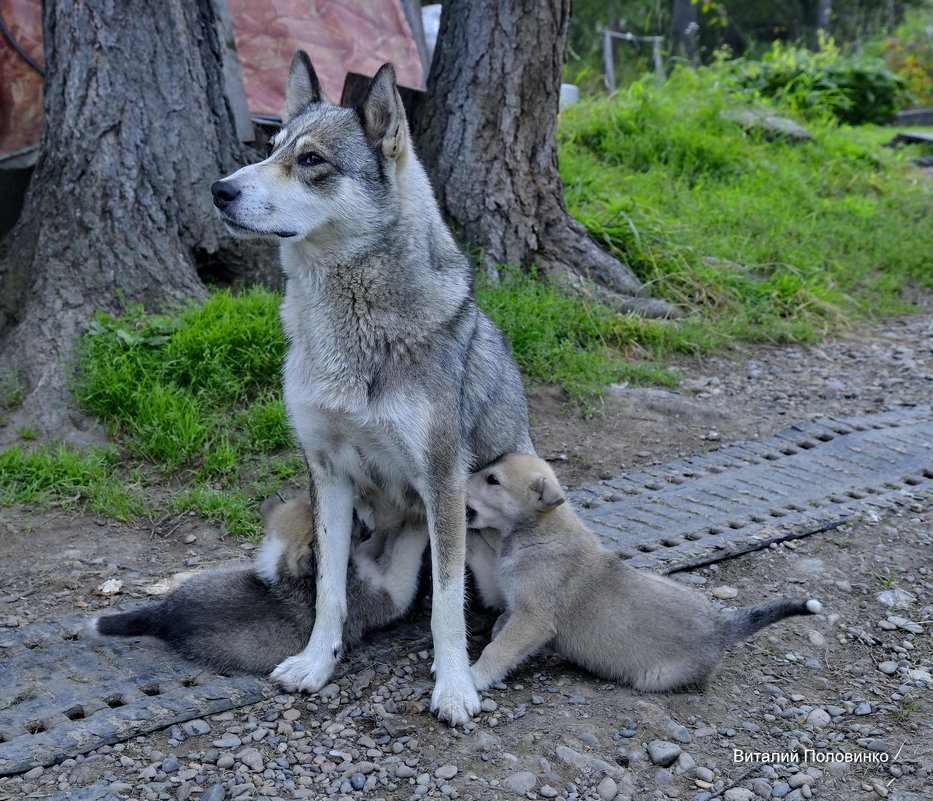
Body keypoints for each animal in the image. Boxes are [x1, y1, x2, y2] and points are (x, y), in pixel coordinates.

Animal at [93, 494, 428, 676]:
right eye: (354, 516)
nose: (368, 500)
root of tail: (162, 614)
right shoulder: (387, 595)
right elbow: (404, 557)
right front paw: (417, 524)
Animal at [210, 53, 532, 720]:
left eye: (312, 160)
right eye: (271, 149)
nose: (220, 189)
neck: (351, 330)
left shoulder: (441, 479)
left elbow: (447, 605)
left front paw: (454, 686)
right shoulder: (327, 473)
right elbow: (329, 590)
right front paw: (317, 662)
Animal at [462, 456, 820, 692]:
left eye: (493, 480)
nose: (458, 480)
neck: (539, 531)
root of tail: (721, 626)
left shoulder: (533, 619)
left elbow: (499, 649)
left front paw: (475, 678)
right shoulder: (502, 594)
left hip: (655, 678)